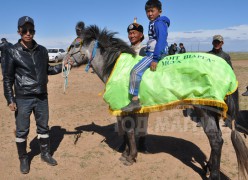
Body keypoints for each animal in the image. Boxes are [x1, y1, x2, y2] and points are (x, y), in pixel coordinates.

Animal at [68, 24, 248, 179]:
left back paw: (214, 174)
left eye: (75, 45)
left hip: (203, 109)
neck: (116, 67)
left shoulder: (124, 108)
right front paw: (127, 153)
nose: (64, 61)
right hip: (212, 110)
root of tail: (226, 68)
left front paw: (129, 157)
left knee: (215, 139)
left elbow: (129, 132)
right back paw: (209, 167)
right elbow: (130, 132)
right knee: (217, 139)